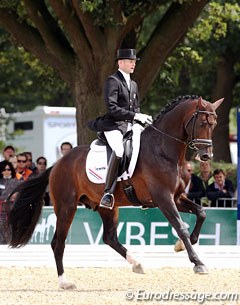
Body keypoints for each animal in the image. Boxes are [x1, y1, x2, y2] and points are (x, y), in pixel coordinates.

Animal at [7, 94, 223, 288]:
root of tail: (57, 164)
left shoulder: (177, 197)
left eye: (214, 124)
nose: (206, 156)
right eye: (203, 122)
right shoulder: (163, 198)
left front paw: (182, 245)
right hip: (66, 207)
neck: (164, 150)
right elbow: (181, 226)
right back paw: (64, 282)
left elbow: (201, 212)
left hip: (107, 207)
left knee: (109, 238)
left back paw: (137, 264)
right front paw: (198, 263)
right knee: (58, 243)